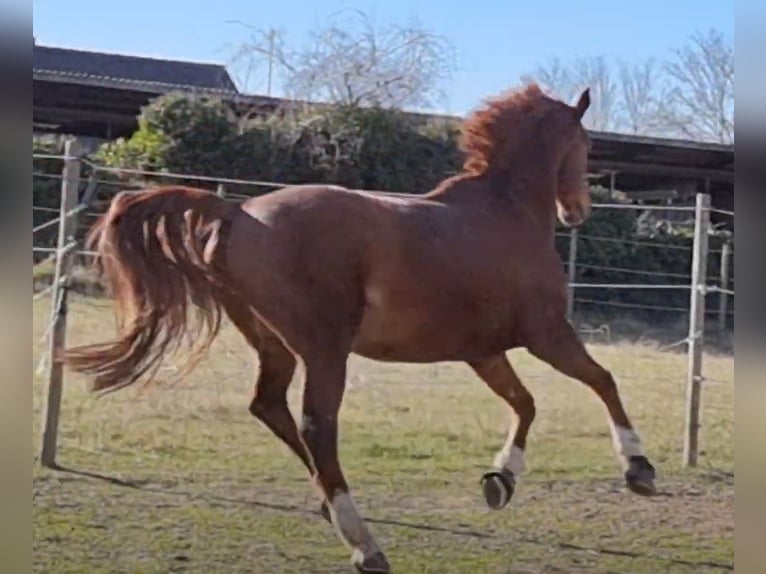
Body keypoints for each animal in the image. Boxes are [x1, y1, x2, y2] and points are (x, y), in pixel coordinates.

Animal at [62, 83, 657, 573]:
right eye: (586, 147)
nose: (577, 210)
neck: (505, 211)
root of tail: (239, 214)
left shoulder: (484, 351)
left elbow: (525, 404)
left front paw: (501, 480)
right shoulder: (546, 334)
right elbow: (602, 381)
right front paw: (639, 469)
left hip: (274, 345)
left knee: (269, 407)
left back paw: (330, 510)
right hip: (326, 350)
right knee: (317, 427)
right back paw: (365, 545)